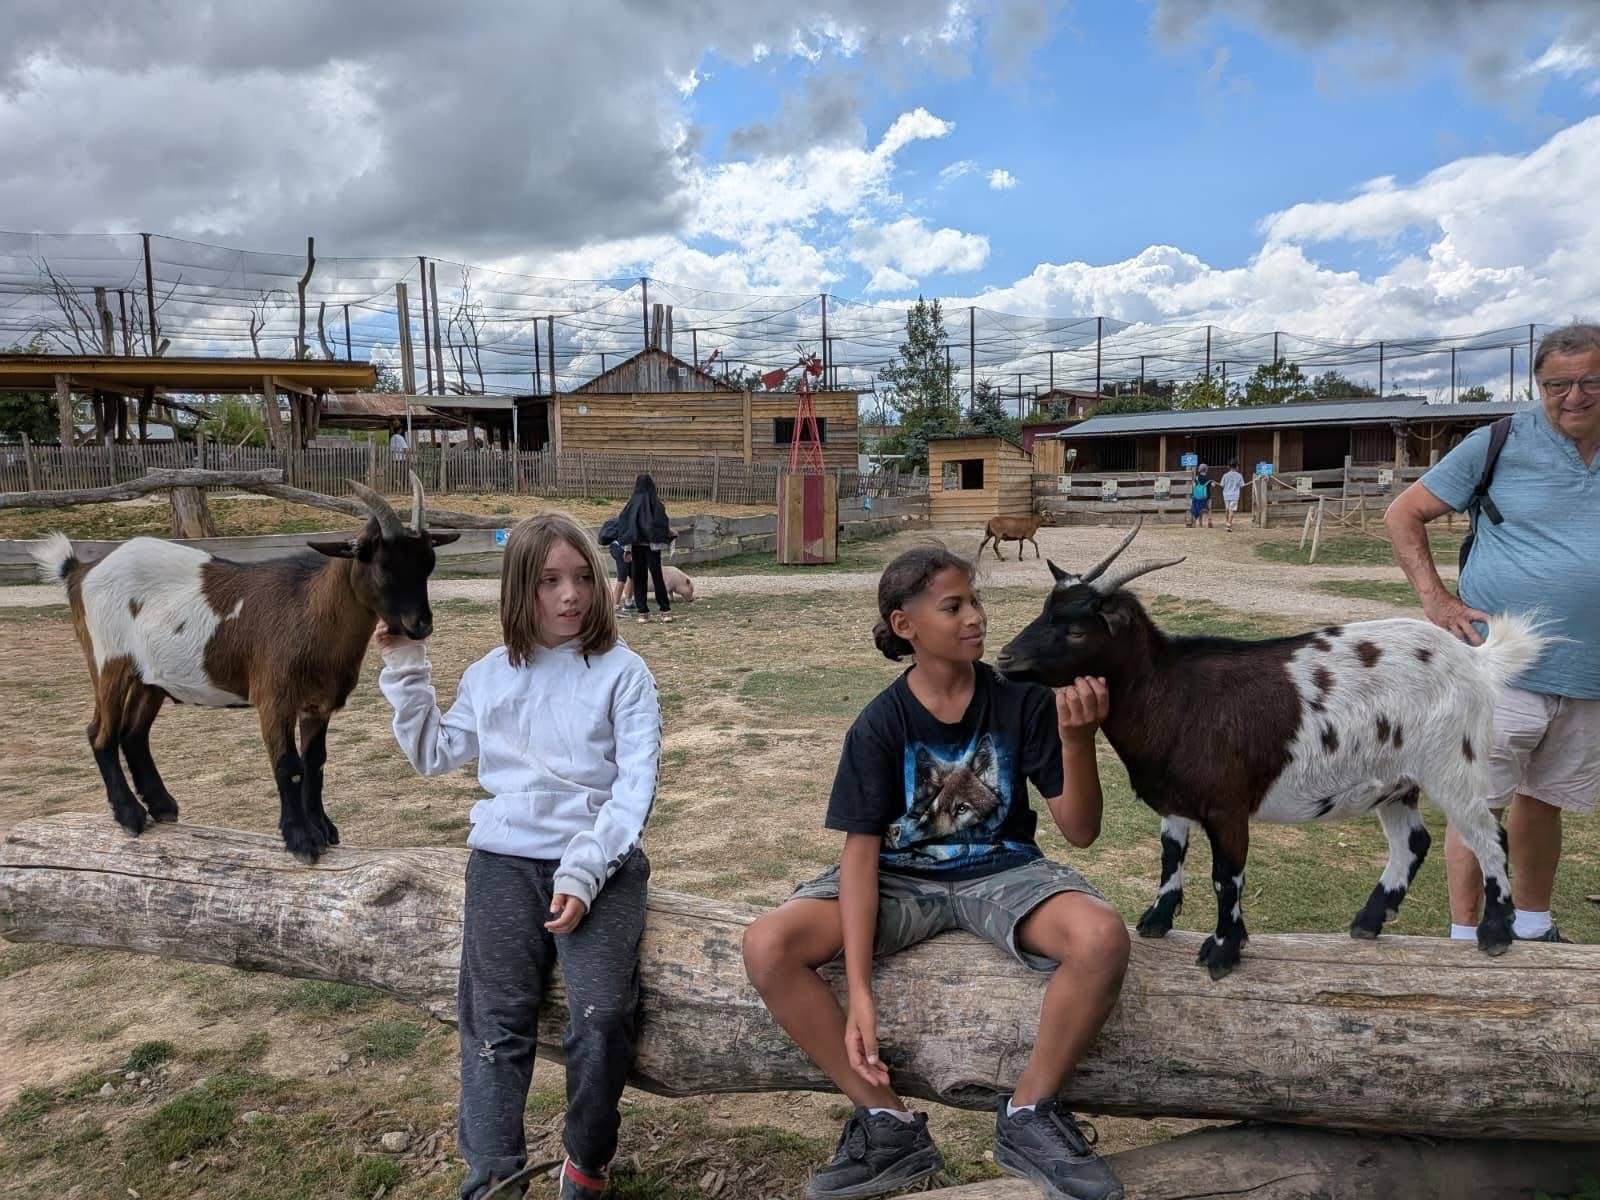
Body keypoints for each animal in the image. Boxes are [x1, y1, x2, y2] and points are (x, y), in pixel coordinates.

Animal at [32, 474, 458, 863]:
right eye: (381, 566)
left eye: (428, 565)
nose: (420, 625)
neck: (309, 612)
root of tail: (79, 571)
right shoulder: (274, 698)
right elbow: (289, 767)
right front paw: (301, 840)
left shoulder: (317, 704)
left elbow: (315, 763)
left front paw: (323, 827)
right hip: (108, 662)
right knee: (100, 733)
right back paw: (130, 815)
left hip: (148, 678)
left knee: (133, 734)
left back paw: (163, 806)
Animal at [994, 520, 1545, 979]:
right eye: (1044, 611)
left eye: (1076, 629)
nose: (1004, 659)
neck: (1172, 692)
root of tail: (1476, 660)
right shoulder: (1176, 802)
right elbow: (1171, 855)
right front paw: (1157, 921)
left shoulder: (1227, 806)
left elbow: (1226, 876)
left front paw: (1222, 951)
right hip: (1396, 783)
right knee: (1413, 842)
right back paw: (1369, 920)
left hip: (1453, 766)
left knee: (1487, 835)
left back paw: (1496, 932)